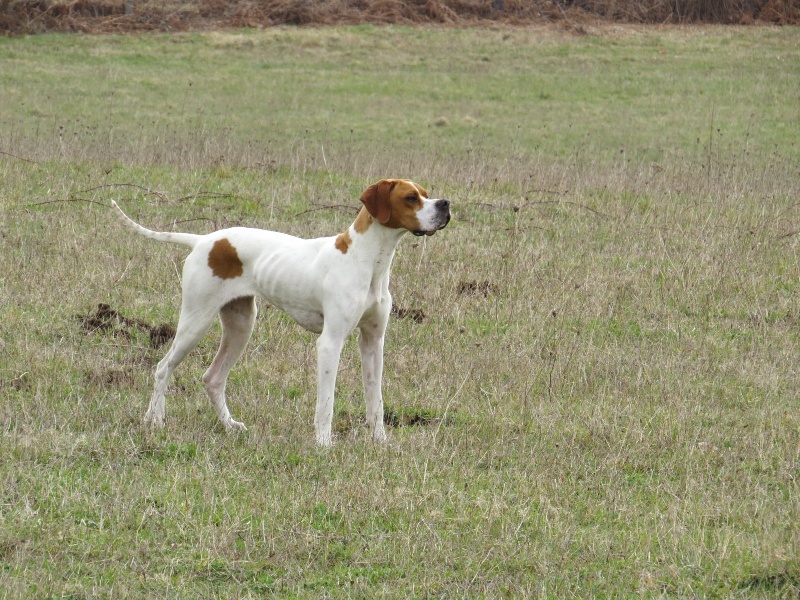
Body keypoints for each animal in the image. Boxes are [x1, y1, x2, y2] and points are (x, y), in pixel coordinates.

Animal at [111, 178, 450, 446]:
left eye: (426, 193)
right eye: (411, 197)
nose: (446, 204)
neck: (367, 261)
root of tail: (204, 240)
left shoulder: (373, 343)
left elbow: (375, 401)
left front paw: (380, 441)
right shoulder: (330, 343)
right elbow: (326, 403)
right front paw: (324, 444)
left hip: (241, 326)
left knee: (213, 378)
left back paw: (229, 426)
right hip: (195, 323)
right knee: (163, 367)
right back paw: (155, 421)